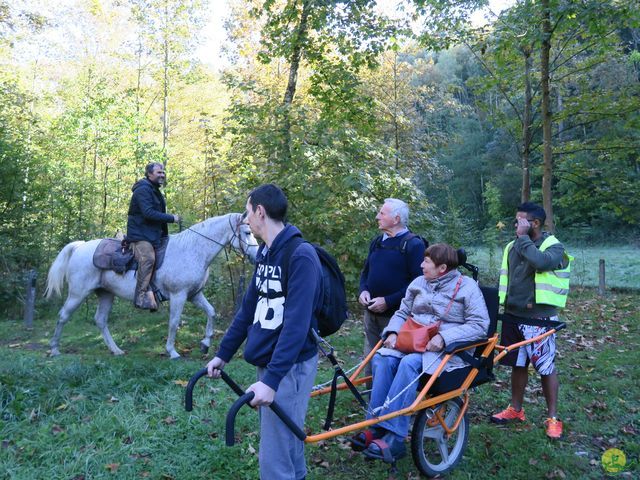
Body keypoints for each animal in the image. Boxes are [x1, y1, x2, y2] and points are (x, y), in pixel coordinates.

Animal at [43, 212, 260, 358]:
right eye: (247, 232)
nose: (256, 256)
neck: (192, 250)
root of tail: (80, 246)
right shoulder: (179, 295)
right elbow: (174, 322)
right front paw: (172, 351)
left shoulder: (194, 294)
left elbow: (212, 312)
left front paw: (205, 343)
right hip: (78, 294)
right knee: (63, 316)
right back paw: (54, 349)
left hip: (105, 293)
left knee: (101, 320)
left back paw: (116, 350)